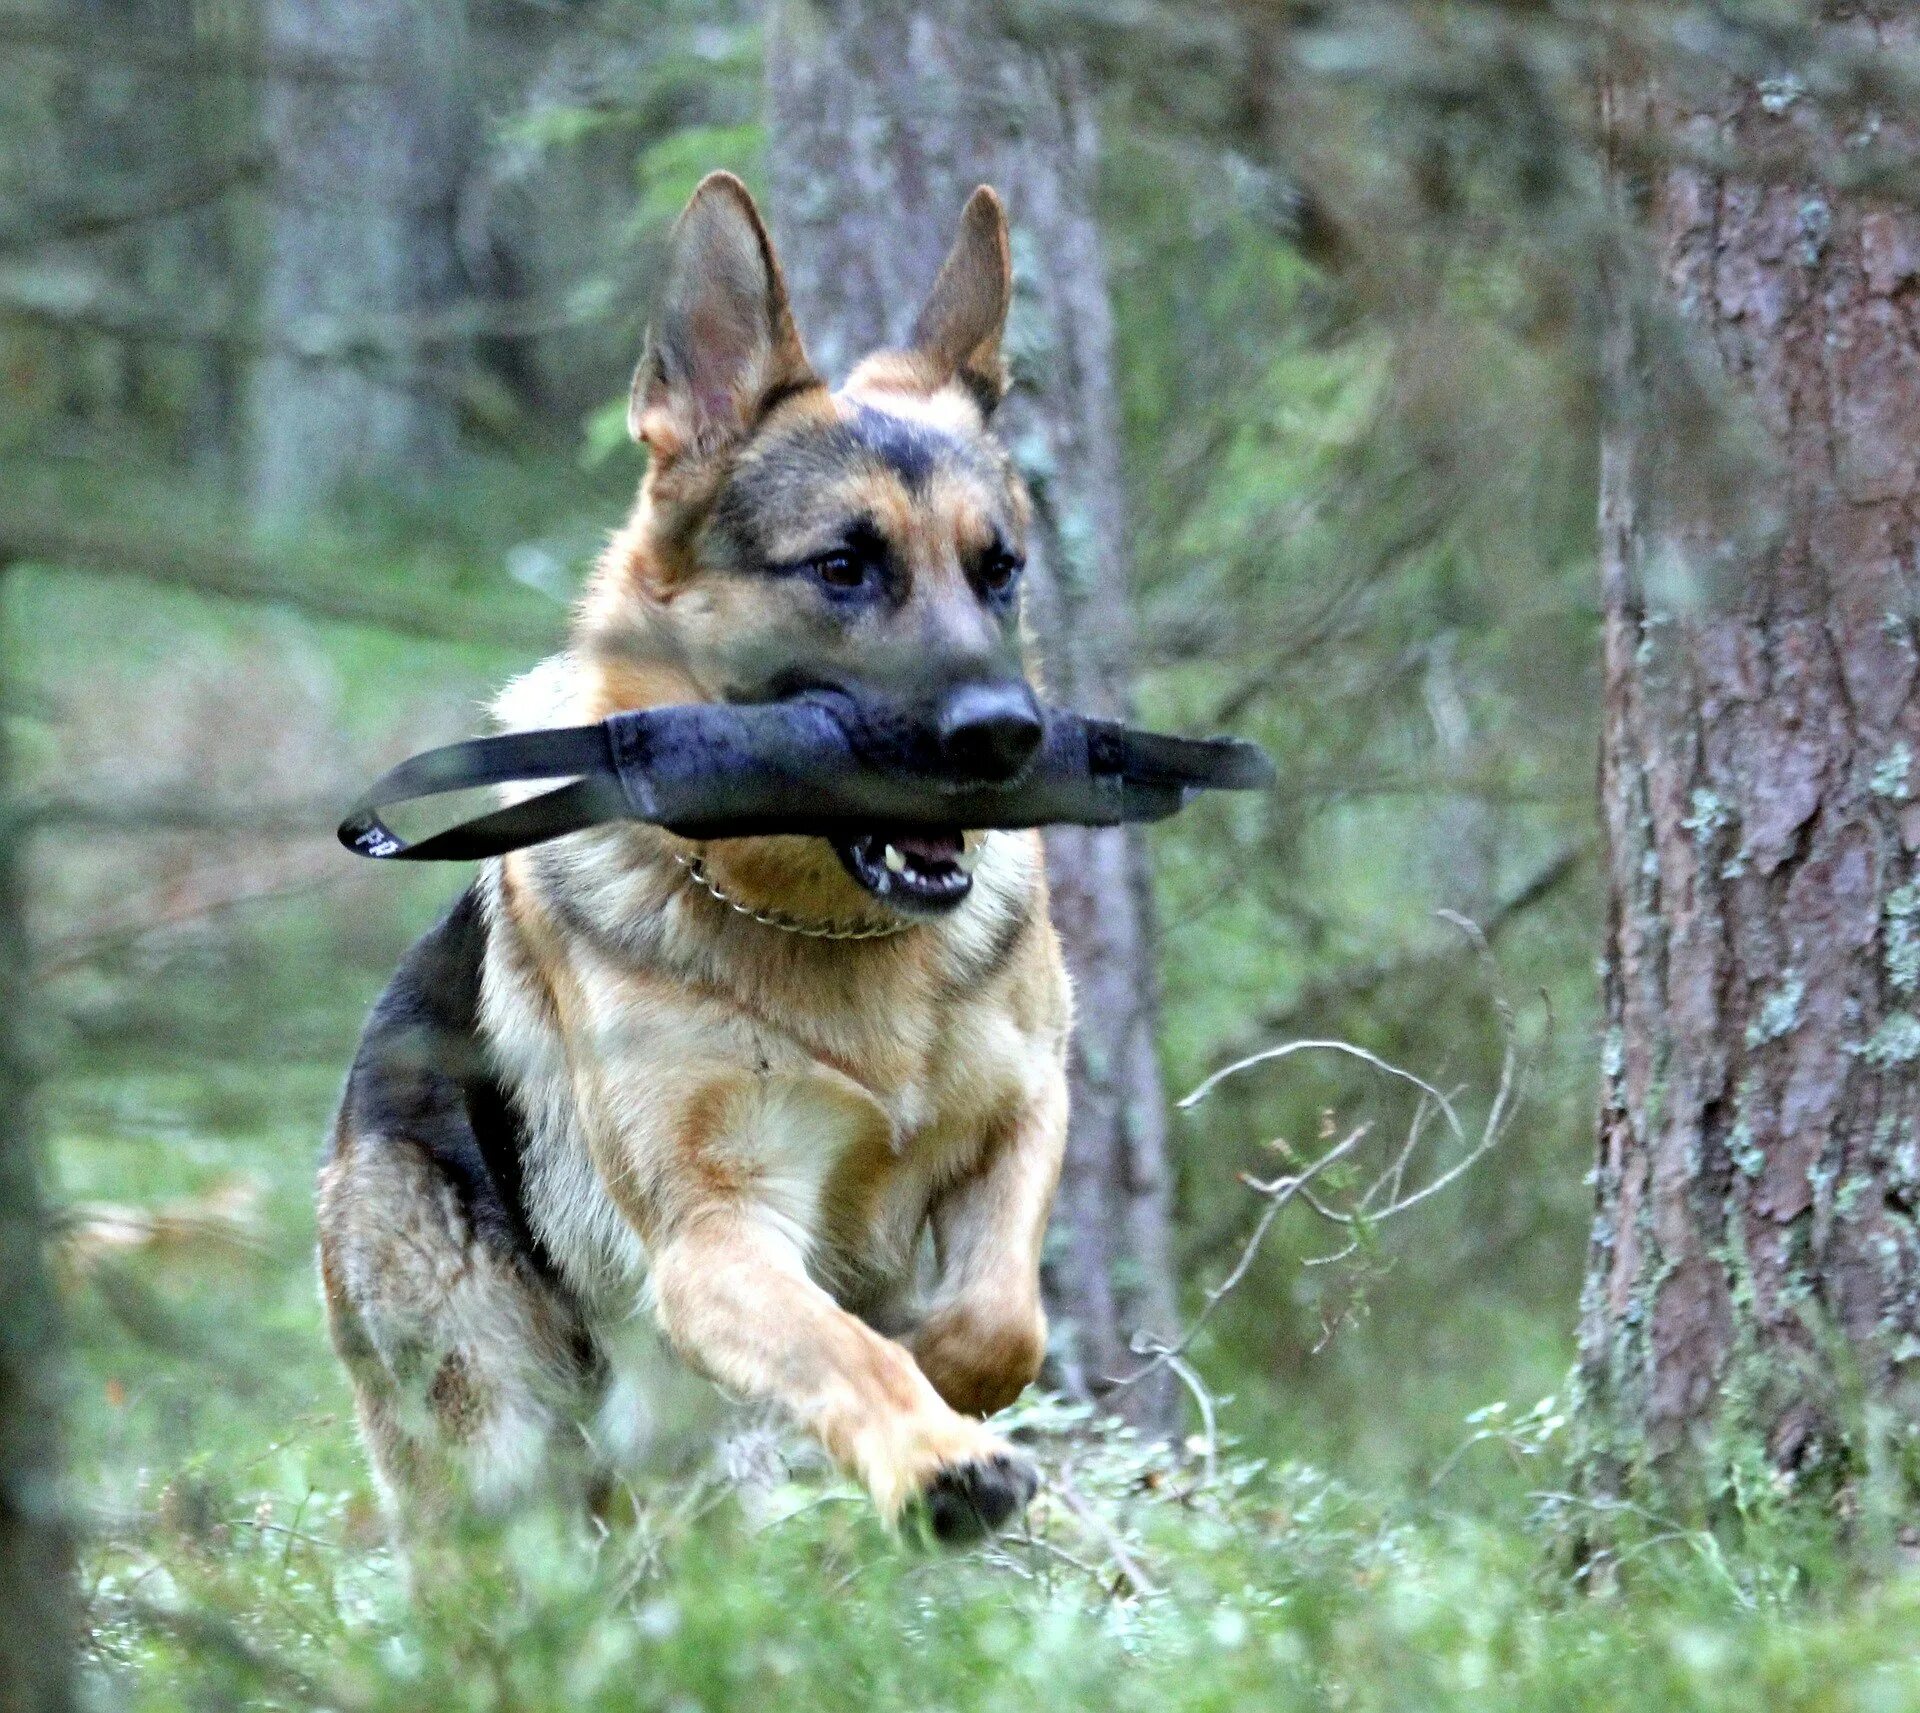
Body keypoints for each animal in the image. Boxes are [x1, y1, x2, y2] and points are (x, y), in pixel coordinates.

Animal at [314, 177, 1067, 1551]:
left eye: (1000, 573)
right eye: (844, 567)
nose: (1005, 737)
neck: (830, 931)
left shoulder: (1029, 1108)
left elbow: (998, 1319)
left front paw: (943, 1371)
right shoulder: (717, 1238)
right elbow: (845, 1347)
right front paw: (935, 1455)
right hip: (494, 1462)